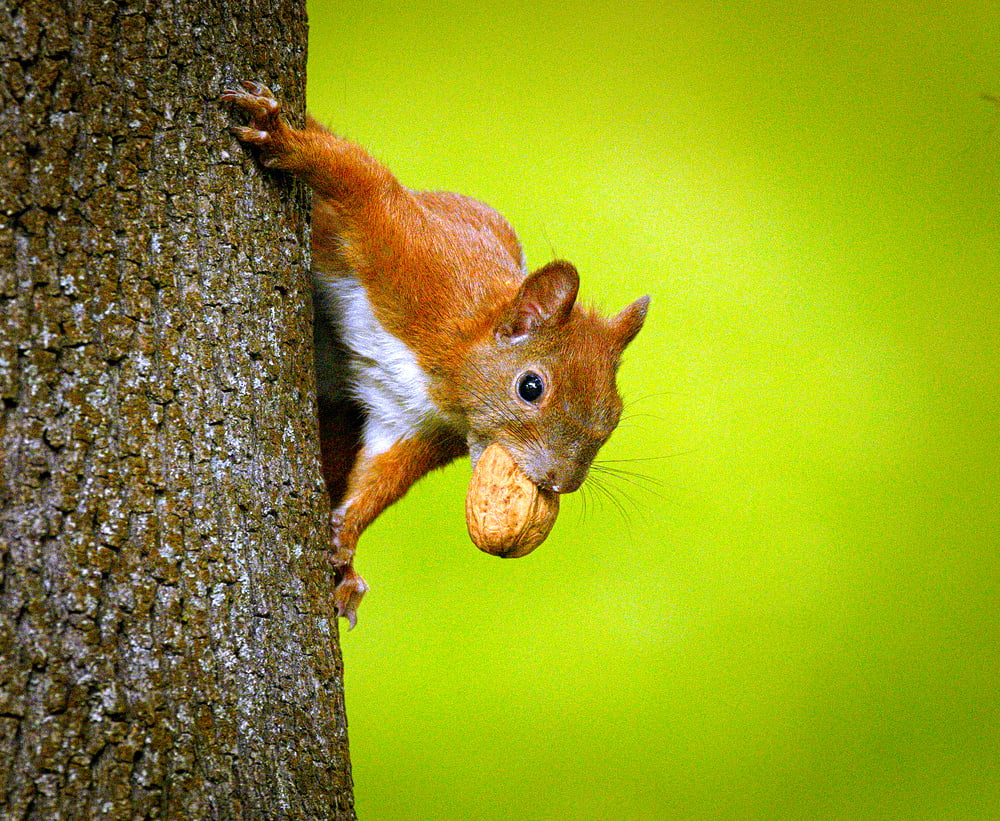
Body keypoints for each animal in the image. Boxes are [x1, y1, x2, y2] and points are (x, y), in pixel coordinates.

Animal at [221, 81, 649, 628]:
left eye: (614, 414)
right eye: (530, 387)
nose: (561, 481)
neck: (447, 366)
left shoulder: (416, 424)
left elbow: (384, 476)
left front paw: (345, 541)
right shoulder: (416, 256)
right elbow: (361, 181)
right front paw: (281, 135)